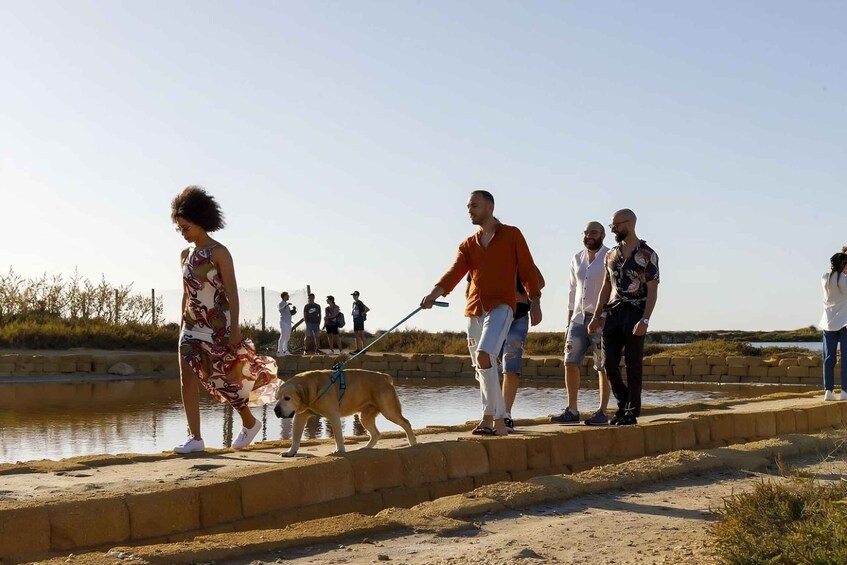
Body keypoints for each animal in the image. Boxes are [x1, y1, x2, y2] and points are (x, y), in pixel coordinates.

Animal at [272, 368, 418, 456]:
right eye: (277, 398)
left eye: (287, 398)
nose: (276, 410)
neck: (313, 389)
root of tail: (384, 376)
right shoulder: (300, 416)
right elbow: (296, 437)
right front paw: (291, 452)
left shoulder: (333, 415)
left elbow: (338, 436)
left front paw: (339, 450)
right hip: (364, 416)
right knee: (376, 433)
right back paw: (366, 447)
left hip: (389, 411)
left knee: (406, 423)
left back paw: (413, 443)